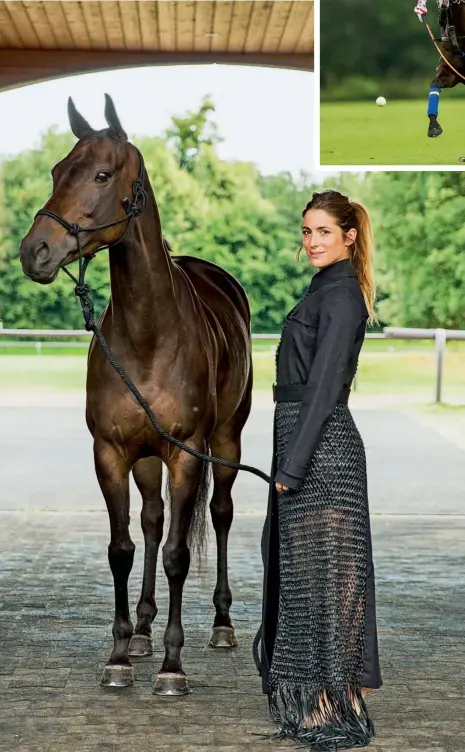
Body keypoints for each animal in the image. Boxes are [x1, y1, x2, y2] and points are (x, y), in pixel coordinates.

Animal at [18, 97, 252, 696]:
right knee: (151, 520)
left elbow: (177, 554)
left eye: (102, 175)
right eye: (56, 170)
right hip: (147, 460)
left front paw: (173, 667)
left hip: (225, 443)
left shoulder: (186, 455)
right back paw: (144, 630)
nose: (35, 251)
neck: (148, 335)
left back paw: (221, 625)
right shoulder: (111, 453)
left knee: (219, 514)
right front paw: (121, 654)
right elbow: (123, 548)